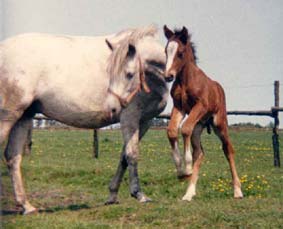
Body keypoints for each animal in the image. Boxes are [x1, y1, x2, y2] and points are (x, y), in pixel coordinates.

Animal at [0, 26, 169, 214]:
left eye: (128, 74)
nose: (112, 107)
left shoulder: (145, 121)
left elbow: (123, 156)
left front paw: (112, 196)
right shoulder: (130, 117)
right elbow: (132, 154)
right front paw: (139, 194)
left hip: (23, 116)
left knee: (13, 157)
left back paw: (26, 206)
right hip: (9, 115)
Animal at [164, 25, 244, 200]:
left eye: (180, 53)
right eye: (166, 51)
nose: (168, 76)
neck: (185, 81)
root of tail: (219, 88)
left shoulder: (200, 106)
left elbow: (184, 128)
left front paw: (186, 168)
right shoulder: (179, 107)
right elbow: (172, 130)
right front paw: (181, 172)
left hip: (219, 123)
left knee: (228, 149)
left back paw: (237, 191)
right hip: (199, 125)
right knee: (199, 153)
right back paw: (189, 193)